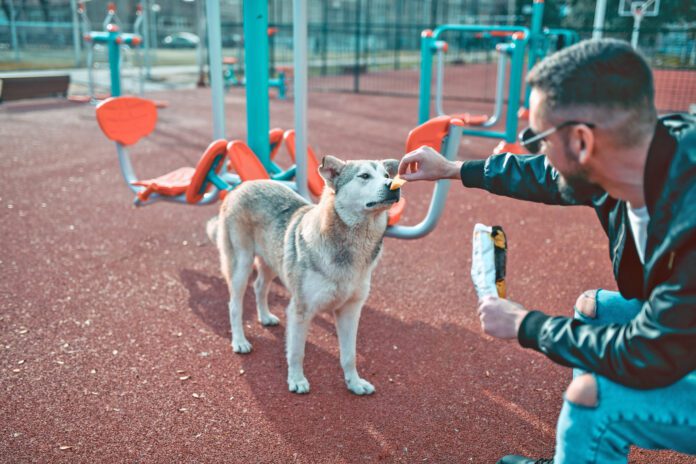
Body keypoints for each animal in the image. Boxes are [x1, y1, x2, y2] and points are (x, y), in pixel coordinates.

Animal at [205, 156, 396, 396]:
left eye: (387, 176)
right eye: (364, 176)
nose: (394, 186)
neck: (351, 248)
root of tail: (239, 186)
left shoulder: (350, 311)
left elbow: (349, 355)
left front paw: (354, 383)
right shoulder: (300, 310)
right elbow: (297, 352)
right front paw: (296, 380)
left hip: (272, 261)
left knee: (259, 287)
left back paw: (265, 317)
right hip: (242, 265)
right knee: (234, 305)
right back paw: (239, 341)